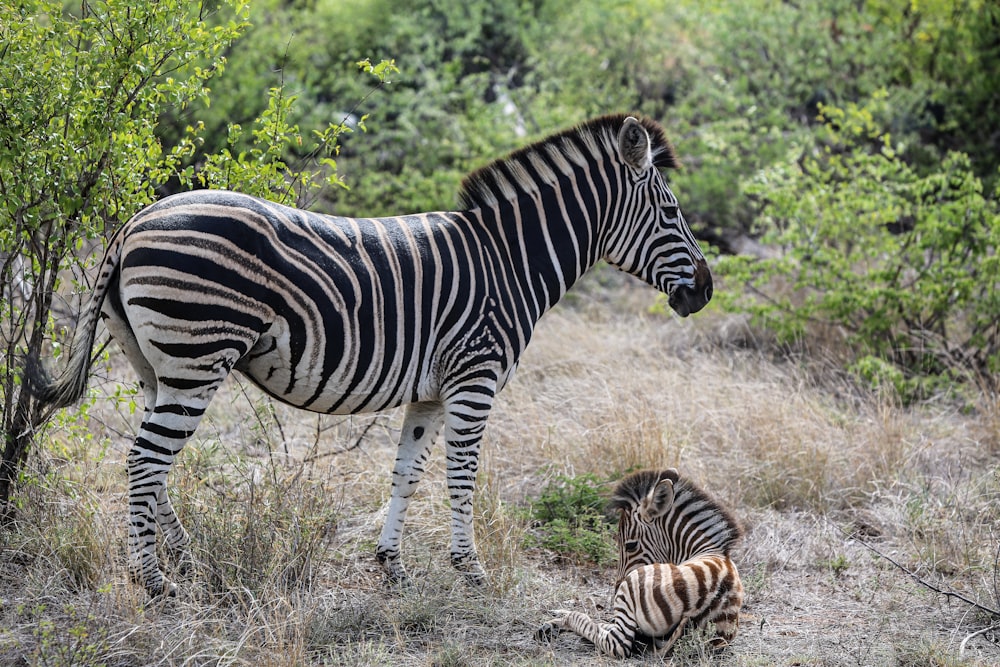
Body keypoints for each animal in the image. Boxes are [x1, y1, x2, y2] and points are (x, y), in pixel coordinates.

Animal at [27, 112, 716, 596]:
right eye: (671, 210)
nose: (706, 291)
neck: (509, 259)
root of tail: (133, 221)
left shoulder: (431, 391)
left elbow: (406, 471)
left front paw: (392, 565)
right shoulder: (475, 377)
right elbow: (462, 474)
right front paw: (470, 570)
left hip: (159, 367)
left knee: (153, 465)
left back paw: (185, 560)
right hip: (197, 359)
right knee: (145, 463)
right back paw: (153, 581)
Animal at [540, 470, 744, 656]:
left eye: (630, 546)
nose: (615, 590)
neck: (706, 548)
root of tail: (705, 604)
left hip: (631, 587)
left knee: (617, 644)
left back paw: (561, 620)